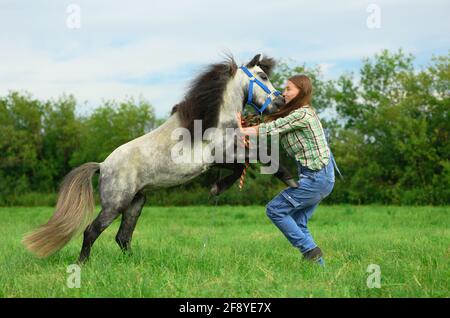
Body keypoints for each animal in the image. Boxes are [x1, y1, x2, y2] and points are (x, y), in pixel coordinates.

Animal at [22, 54, 284, 264]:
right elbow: (253, 162)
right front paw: (217, 188)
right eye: (262, 76)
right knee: (92, 231)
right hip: (115, 204)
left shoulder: (219, 160)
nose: (280, 101)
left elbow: (242, 167)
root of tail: (103, 166)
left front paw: (217, 188)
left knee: (122, 237)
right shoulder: (223, 154)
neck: (211, 121)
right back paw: (82, 264)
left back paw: (133, 263)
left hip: (136, 202)